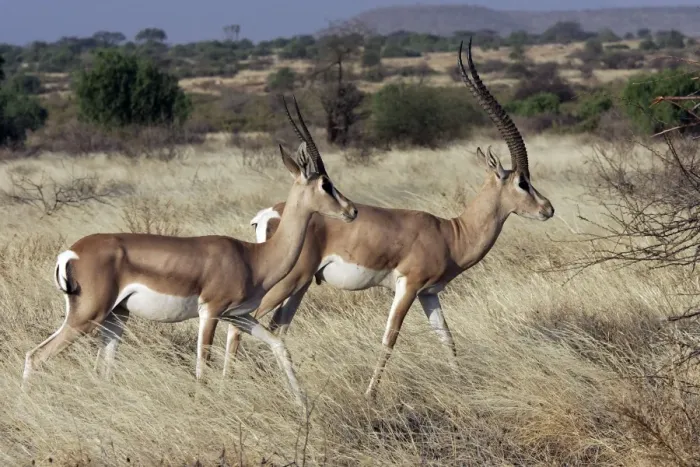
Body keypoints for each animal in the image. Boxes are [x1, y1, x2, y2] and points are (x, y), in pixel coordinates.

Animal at [22, 96, 358, 408]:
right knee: (35, 356)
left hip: (116, 318)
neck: (253, 257)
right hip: (87, 317)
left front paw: (303, 405)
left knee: (100, 370)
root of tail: (71, 253)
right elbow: (202, 369)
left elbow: (279, 345)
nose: (352, 211)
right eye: (325, 184)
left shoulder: (238, 316)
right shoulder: (210, 312)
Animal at [224, 39, 555, 399]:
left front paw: (462, 383)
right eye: (522, 182)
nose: (548, 209)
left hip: (299, 286)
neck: (450, 233)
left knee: (275, 329)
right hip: (284, 283)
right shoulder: (407, 286)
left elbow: (446, 337)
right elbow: (389, 339)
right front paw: (370, 395)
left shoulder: (429, 293)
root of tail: (268, 214)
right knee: (239, 327)